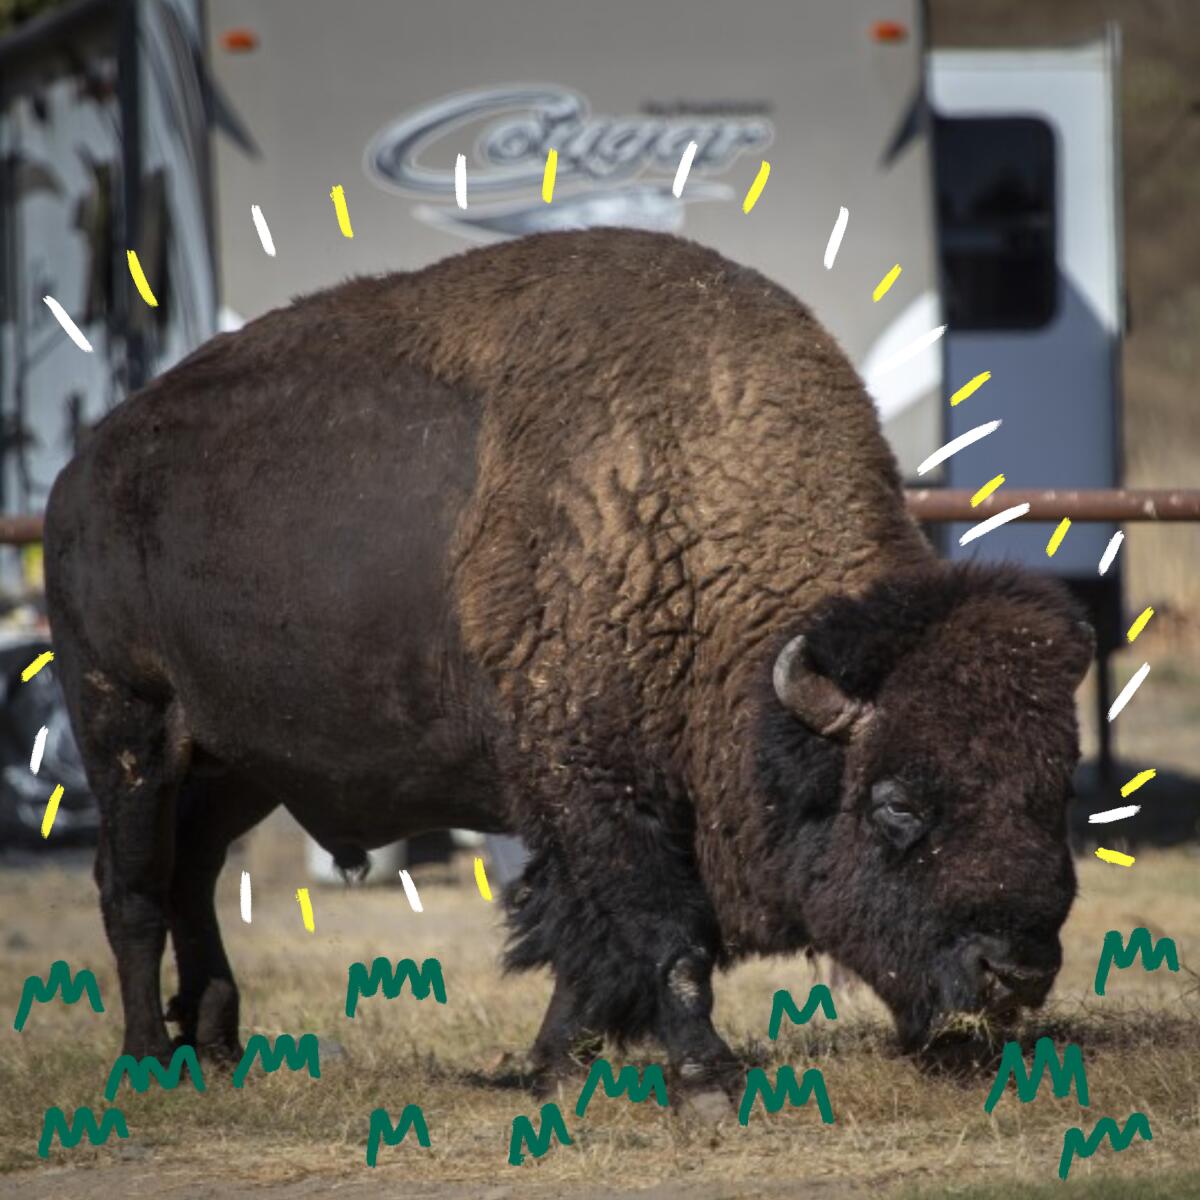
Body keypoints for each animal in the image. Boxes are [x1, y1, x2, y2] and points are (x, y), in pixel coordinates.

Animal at [46, 226, 1094, 1099]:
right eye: (897, 806)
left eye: (1053, 788)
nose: (1017, 972)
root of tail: (80, 474)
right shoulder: (599, 791)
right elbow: (664, 938)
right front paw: (705, 1080)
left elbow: (590, 954)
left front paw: (552, 1068)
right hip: (127, 727)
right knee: (131, 888)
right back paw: (148, 1062)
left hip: (237, 765)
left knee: (191, 877)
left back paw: (221, 1050)